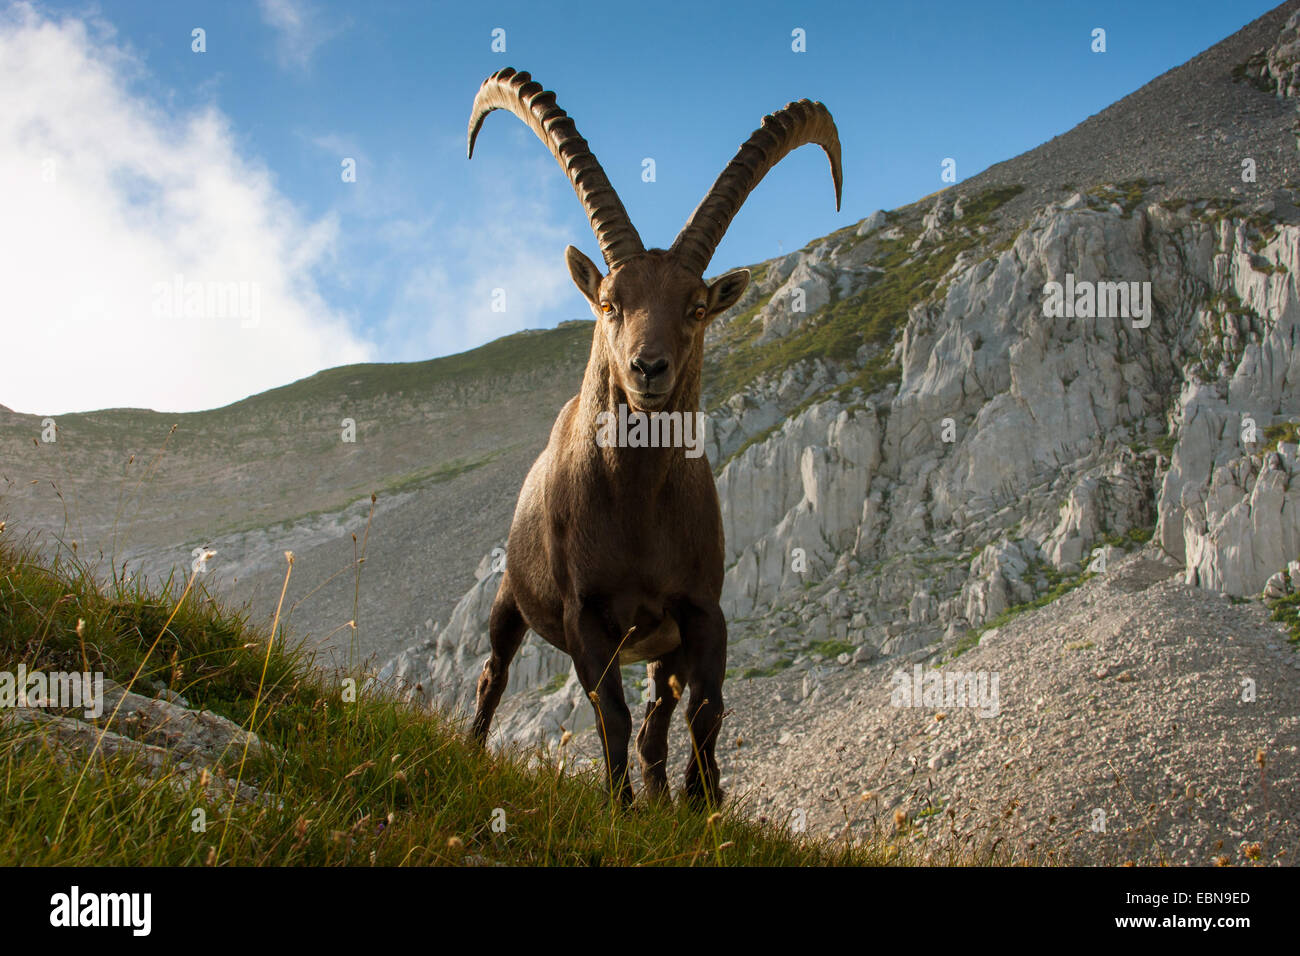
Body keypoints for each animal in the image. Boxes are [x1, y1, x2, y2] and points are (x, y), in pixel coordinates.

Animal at [467, 68, 842, 806]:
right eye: (611, 301)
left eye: (695, 307)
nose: (647, 368)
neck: (637, 506)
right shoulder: (587, 618)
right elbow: (608, 713)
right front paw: (617, 808)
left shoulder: (701, 611)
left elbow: (707, 710)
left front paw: (706, 804)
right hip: (510, 599)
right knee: (495, 673)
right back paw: (469, 750)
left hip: (660, 646)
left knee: (659, 719)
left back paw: (666, 794)